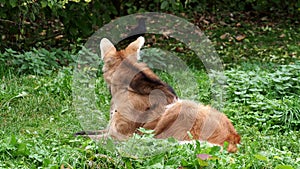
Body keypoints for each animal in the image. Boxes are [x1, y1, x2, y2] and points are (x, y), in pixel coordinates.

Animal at [76, 36, 240, 152]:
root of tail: (234, 138)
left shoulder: (120, 136)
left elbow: (86, 137)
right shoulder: (110, 129)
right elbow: (81, 132)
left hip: (179, 109)